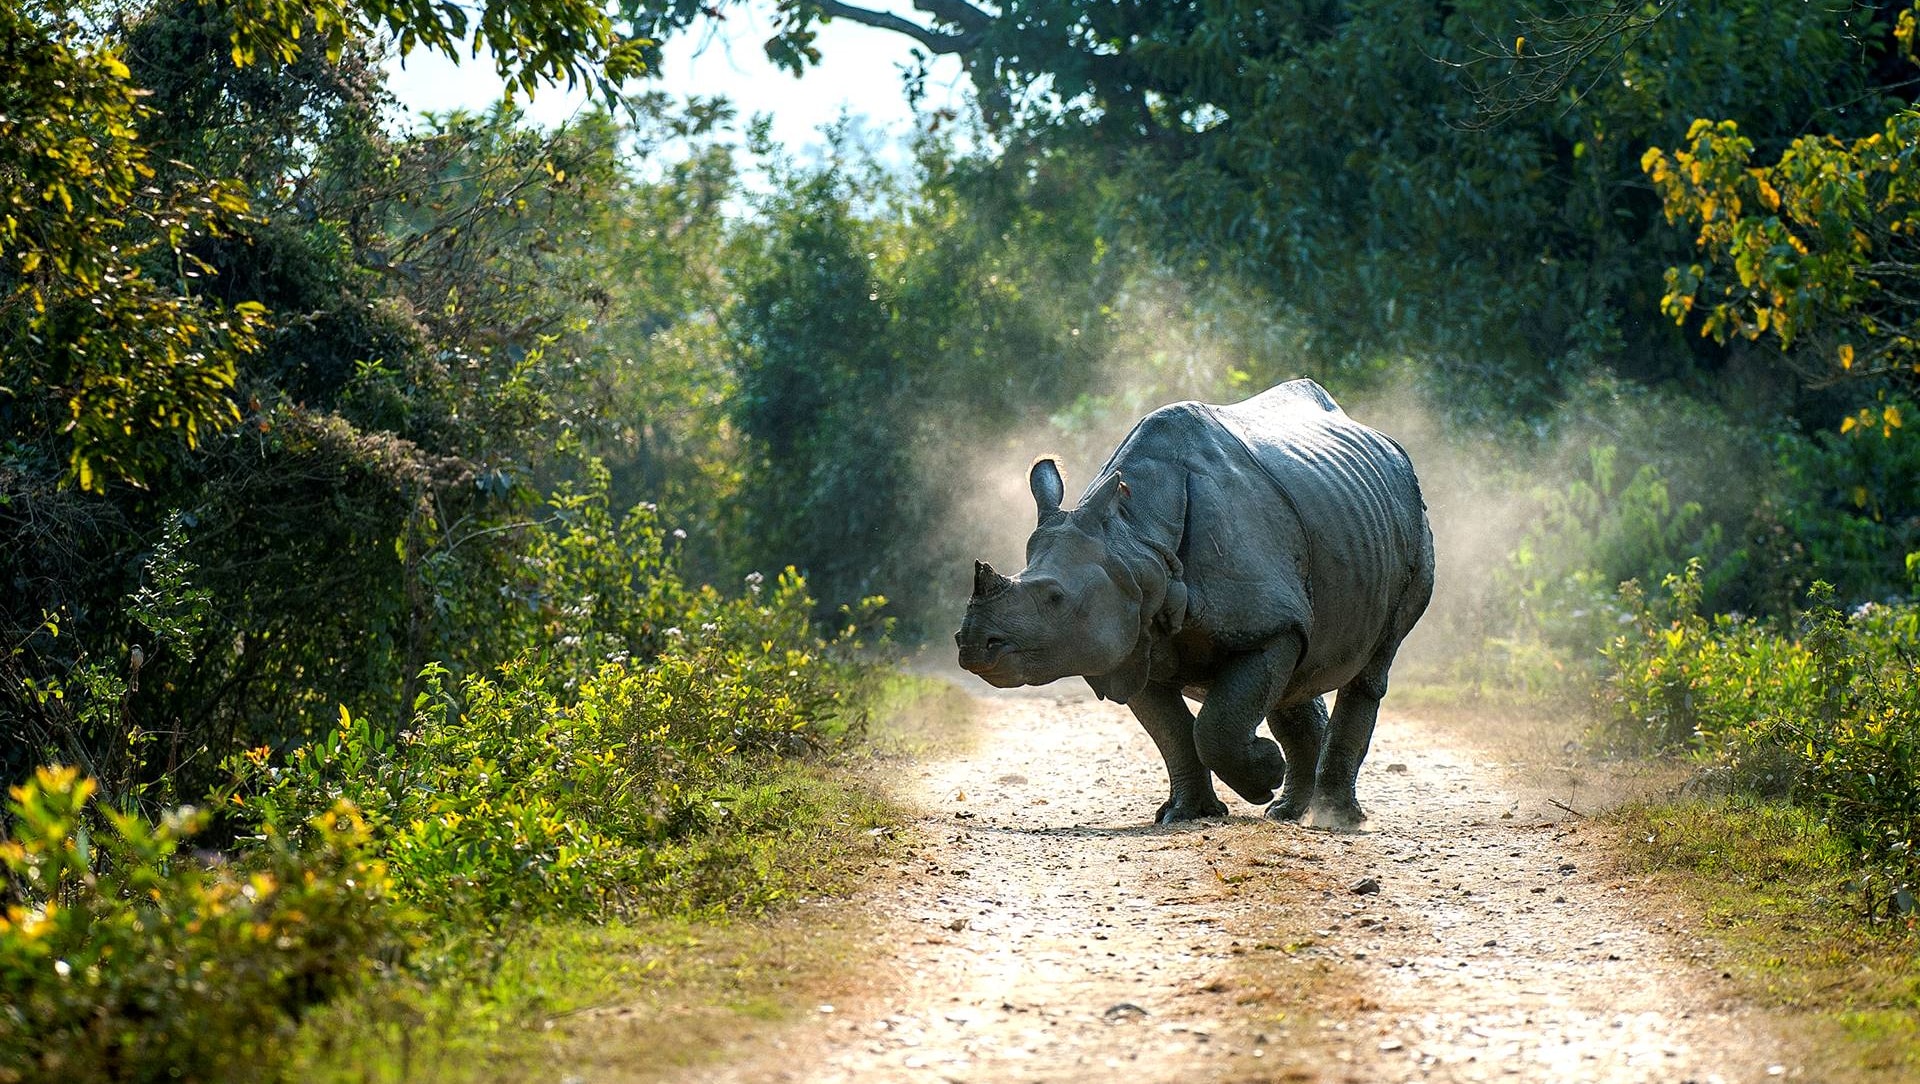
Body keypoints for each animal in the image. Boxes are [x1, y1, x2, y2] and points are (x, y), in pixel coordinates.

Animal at [954, 379, 1434, 828]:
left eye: (1055, 598)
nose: (973, 644)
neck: (1137, 541)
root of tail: (1390, 446)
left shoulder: (1265, 624)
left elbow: (1215, 727)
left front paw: (1265, 771)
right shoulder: (1134, 636)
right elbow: (1174, 732)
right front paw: (1188, 813)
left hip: (1411, 519)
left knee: (1371, 664)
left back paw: (1335, 817)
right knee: (1298, 669)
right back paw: (1288, 811)